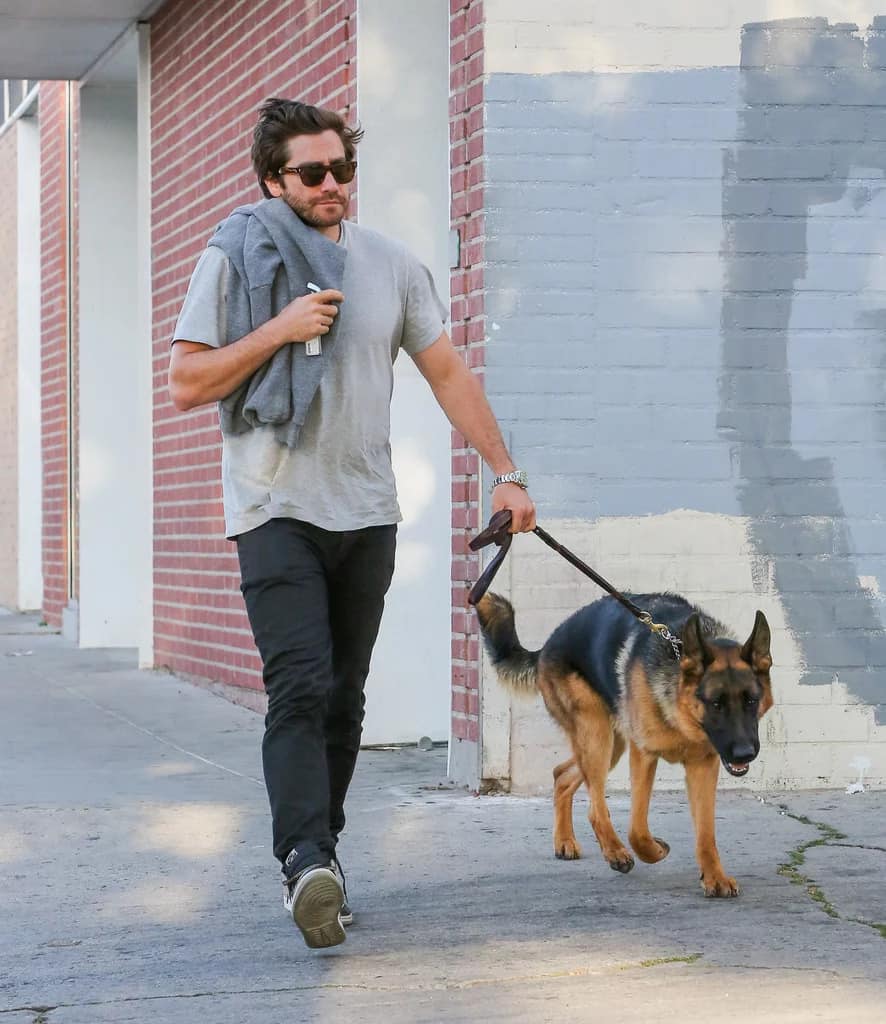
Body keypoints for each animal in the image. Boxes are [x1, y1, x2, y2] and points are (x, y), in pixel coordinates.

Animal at [473, 593, 770, 897]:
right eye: (716, 704)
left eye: (751, 701)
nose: (745, 753)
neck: (678, 710)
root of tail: (546, 646)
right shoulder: (644, 754)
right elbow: (637, 829)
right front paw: (654, 851)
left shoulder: (704, 764)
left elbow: (706, 832)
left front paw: (714, 877)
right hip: (597, 737)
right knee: (595, 808)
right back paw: (615, 852)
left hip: (609, 745)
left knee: (562, 775)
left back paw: (565, 841)